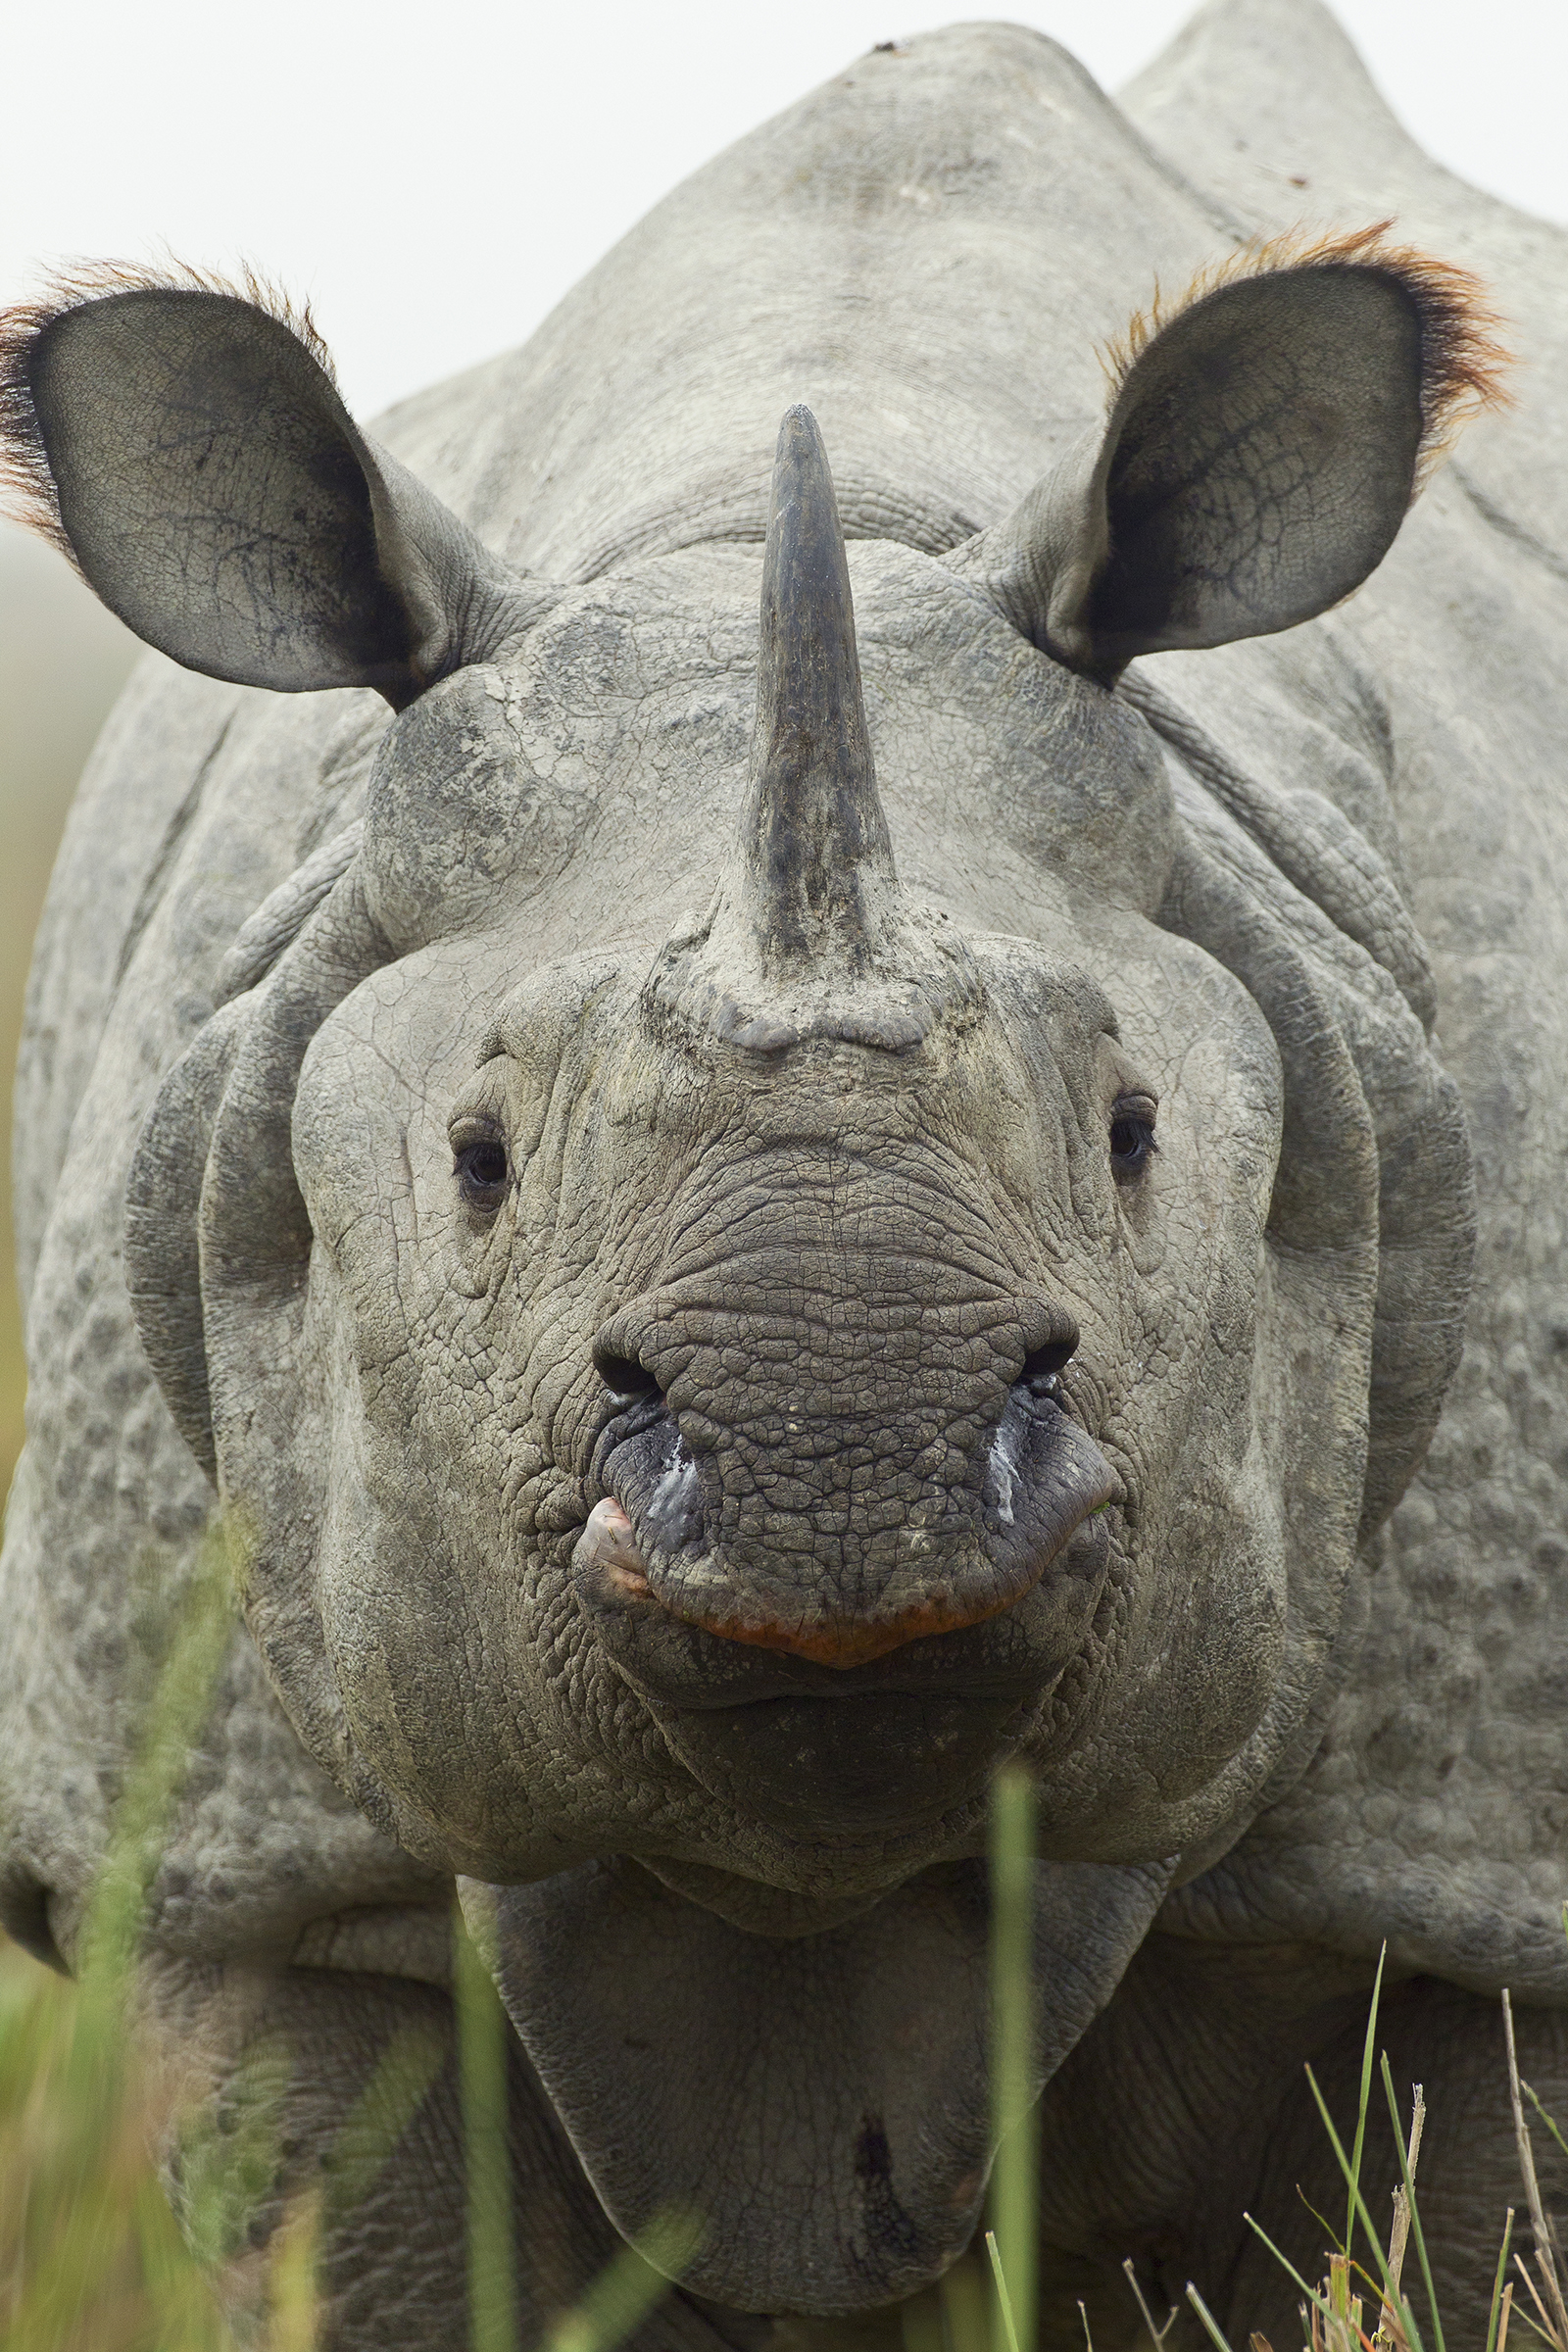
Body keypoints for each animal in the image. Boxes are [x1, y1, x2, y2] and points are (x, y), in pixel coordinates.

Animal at [4, 0, 1567, 2340]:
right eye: (474, 1159)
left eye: (1135, 1135)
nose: (843, 1476)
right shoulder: (235, 1854)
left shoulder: (1472, 1845)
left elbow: (1474, 2224)